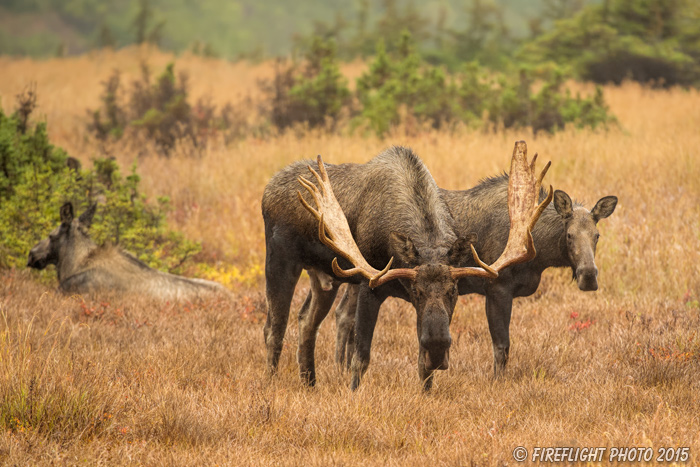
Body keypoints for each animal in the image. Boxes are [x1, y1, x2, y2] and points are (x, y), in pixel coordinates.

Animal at [262, 142, 552, 392]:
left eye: (454, 291)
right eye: (416, 291)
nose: (439, 346)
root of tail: (268, 188)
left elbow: (423, 367)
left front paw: (426, 393)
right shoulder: (370, 283)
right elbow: (360, 357)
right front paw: (353, 394)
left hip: (324, 277)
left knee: (306, 321)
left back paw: (309, 383)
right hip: (279, 259)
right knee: (274, 328)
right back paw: (271, 382)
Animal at [336, 172, 616, 376]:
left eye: (597, 235)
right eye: (569, 235)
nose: (589, 276)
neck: (538, 250)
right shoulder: (497, 288)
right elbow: (501, 346)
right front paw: (497, 383)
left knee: (344, 315)